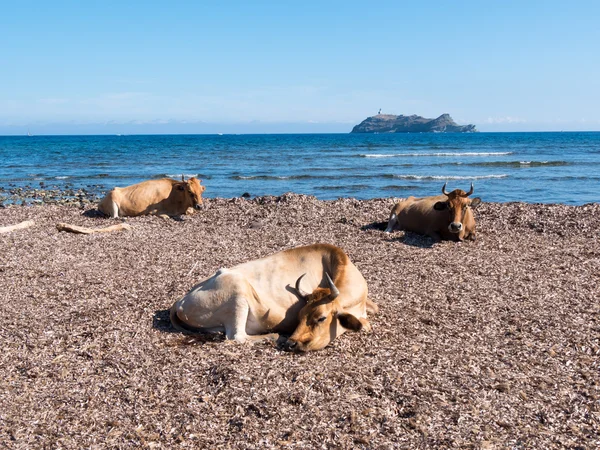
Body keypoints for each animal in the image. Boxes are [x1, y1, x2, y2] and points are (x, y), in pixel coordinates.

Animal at [169, 243, 378, 352]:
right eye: (299, 316)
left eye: (321, 318)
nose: (292, 342)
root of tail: (180, 301)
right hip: (237, 290)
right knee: (237, 337)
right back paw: (274, 335)